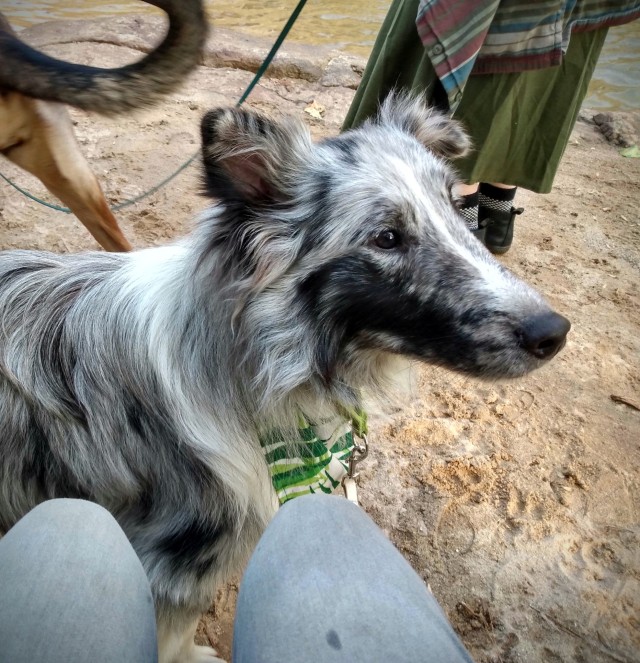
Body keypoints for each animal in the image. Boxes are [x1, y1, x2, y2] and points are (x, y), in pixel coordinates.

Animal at [0, 94, 568, 663]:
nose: (555, 332)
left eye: (456, 210)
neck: (249, 364)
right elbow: (174, 634)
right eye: (386, 238)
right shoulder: (174, 562)